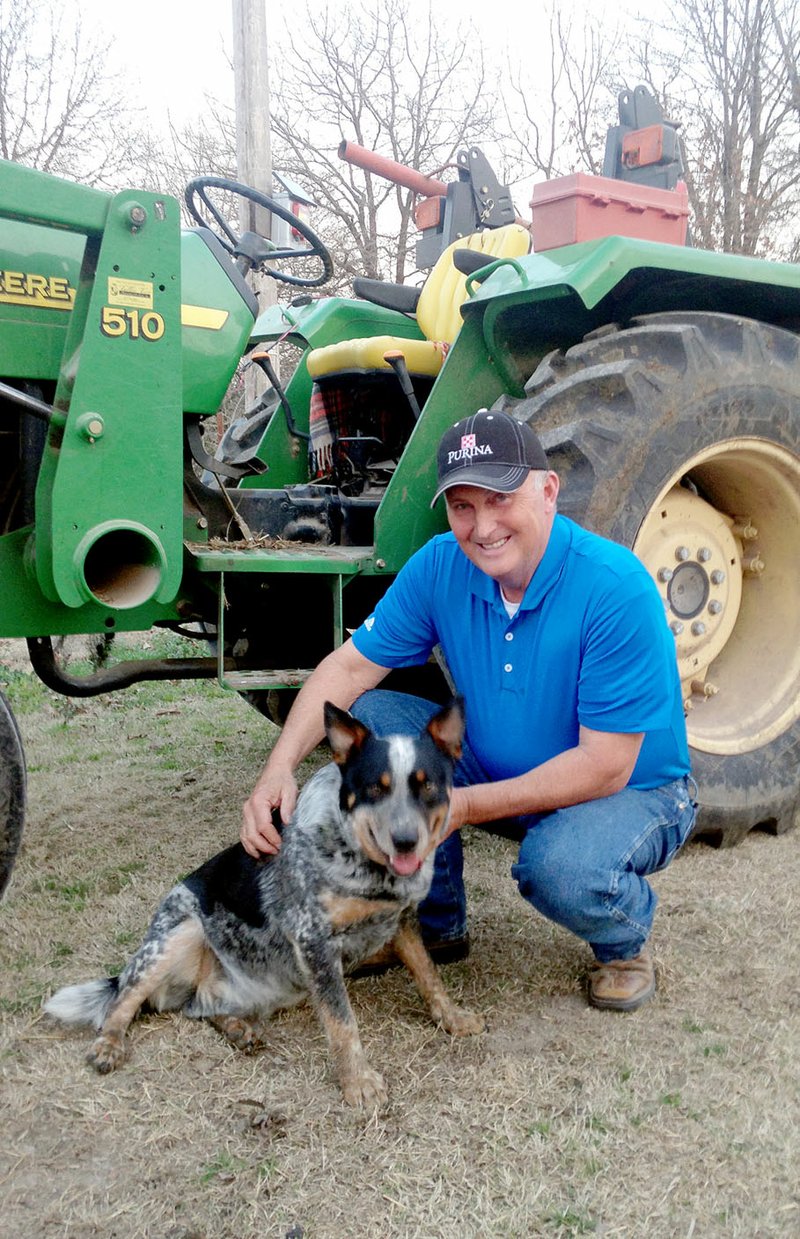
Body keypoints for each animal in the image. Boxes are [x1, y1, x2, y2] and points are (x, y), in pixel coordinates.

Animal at [45, 693, 482, 1110]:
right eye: (377, 787)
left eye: (427, 785)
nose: (406, 841)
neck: (360, 860)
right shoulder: (313, 941)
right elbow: (342, 1022)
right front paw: (358, 1081)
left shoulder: (403, 918)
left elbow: (429, 974)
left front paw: (453, 1017)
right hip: (177, 933)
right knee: (122, 1000)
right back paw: (109, 1044)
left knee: (198, 1007)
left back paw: (237, 1029)